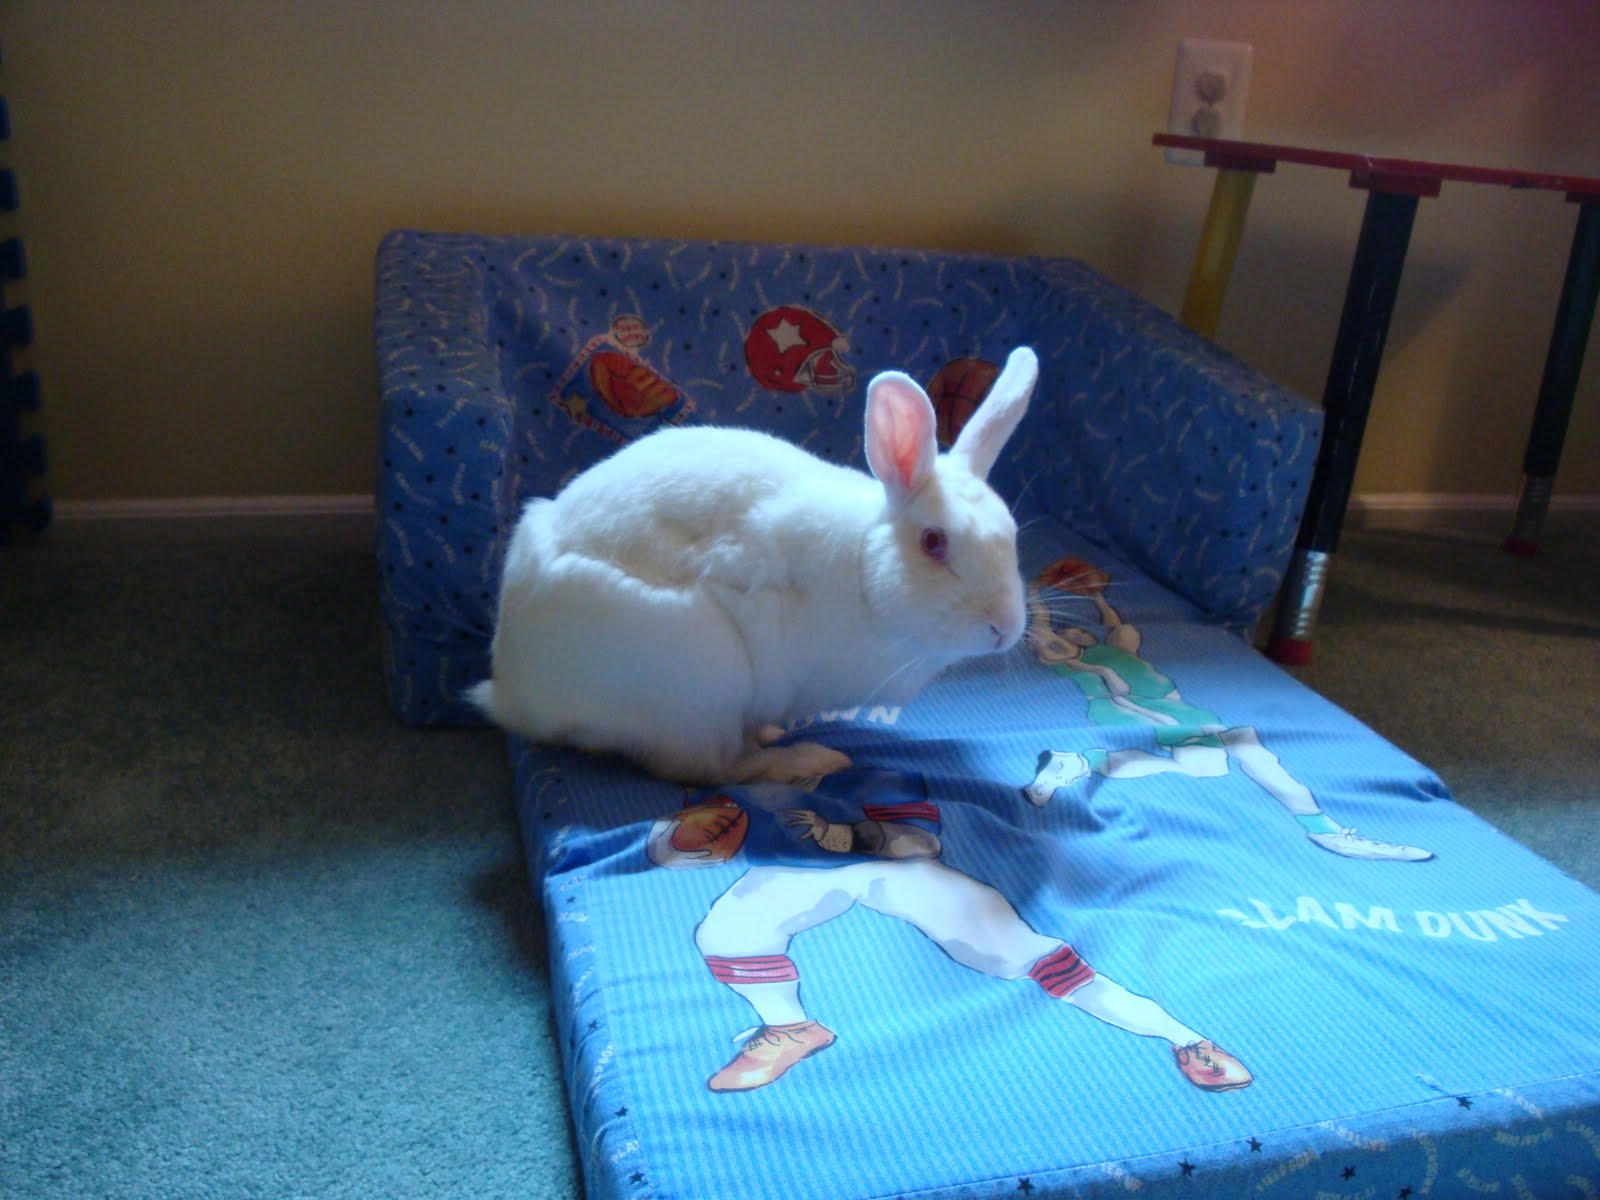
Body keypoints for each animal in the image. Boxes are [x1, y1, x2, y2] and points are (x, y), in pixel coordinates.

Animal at [468, 345, 1039, 785]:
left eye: (1012, 535)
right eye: (934, 542)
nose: (1005, 628)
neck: (862, 578)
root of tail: (512, 693)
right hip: (698, 677)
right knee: (706, 769)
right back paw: (806, 759)